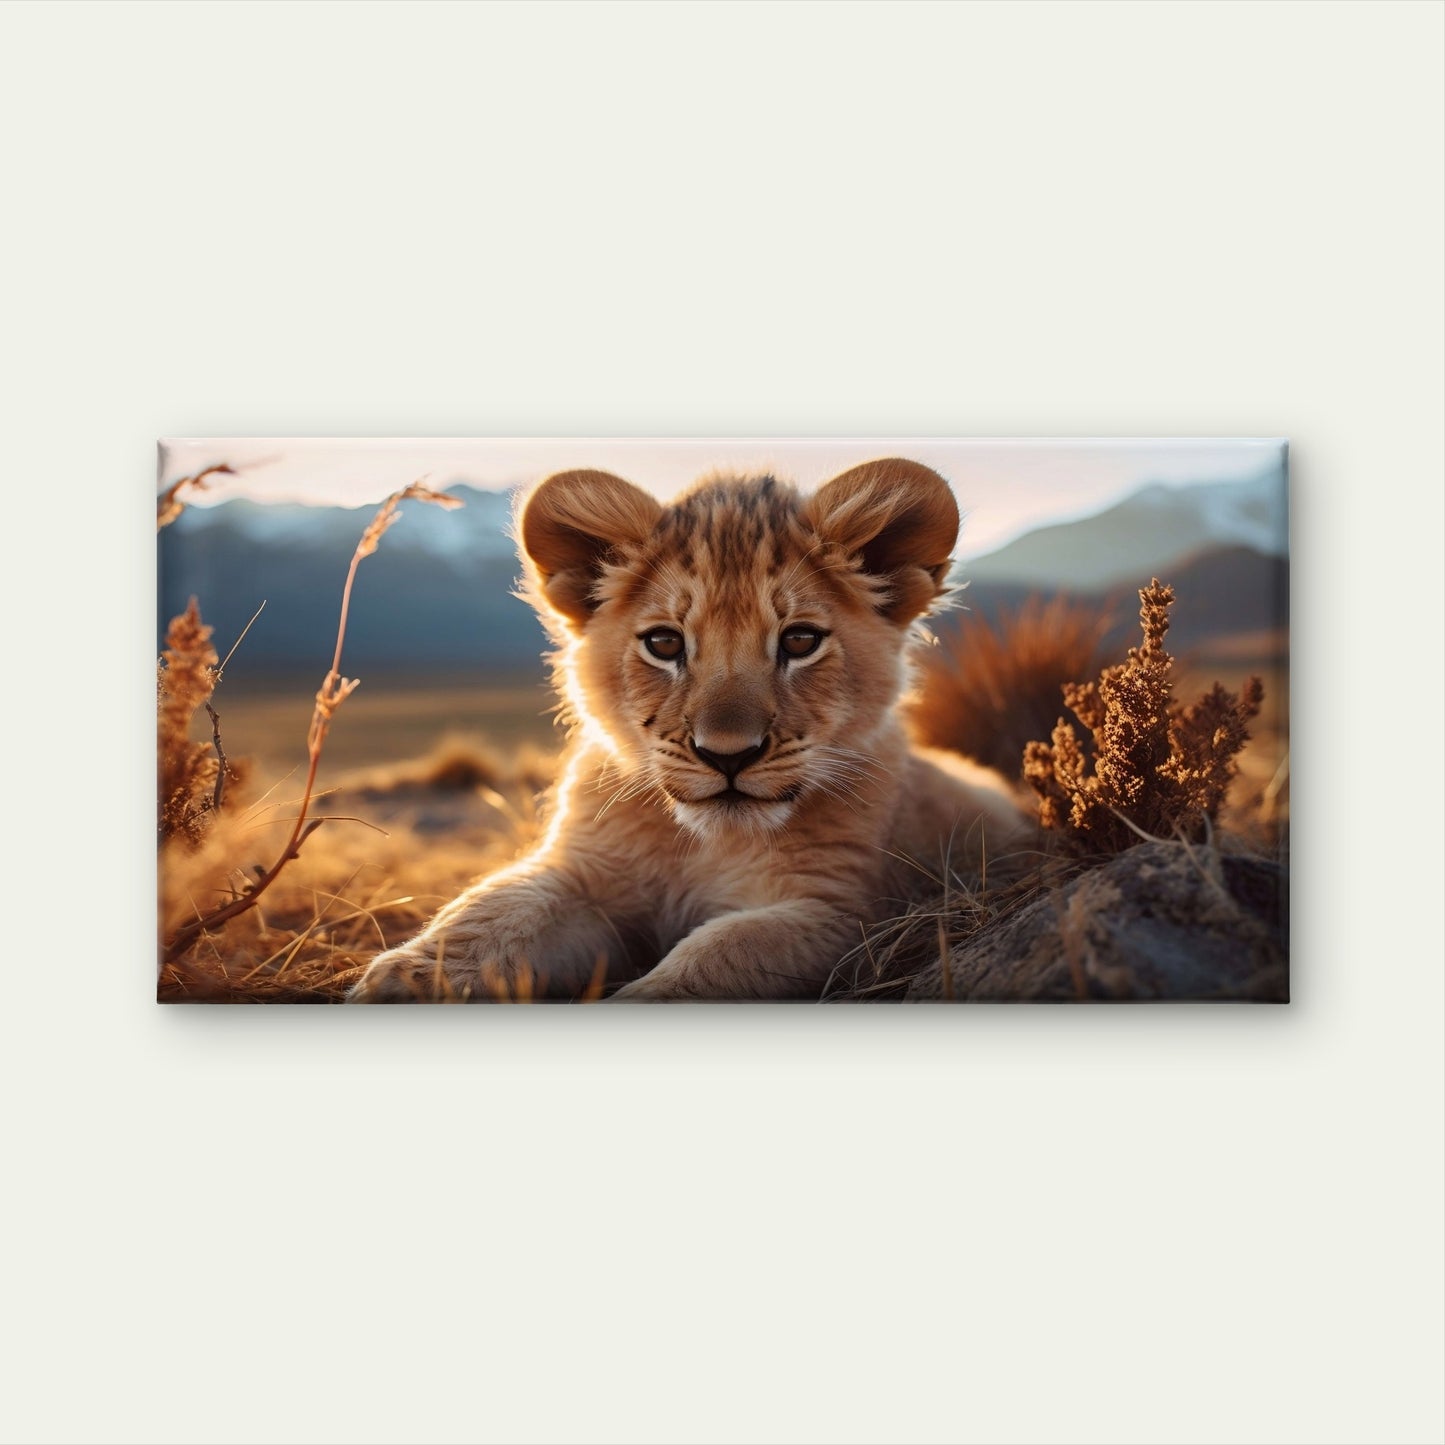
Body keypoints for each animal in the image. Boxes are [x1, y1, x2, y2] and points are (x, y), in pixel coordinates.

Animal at [347, 457, 1029, 1002]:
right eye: (665, 643)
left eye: (800, 641)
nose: (728, 756)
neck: (705, 844)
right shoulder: (584, 875)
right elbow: (494, 909)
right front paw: (400, 981)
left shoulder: (840, 912)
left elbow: (718, 954)